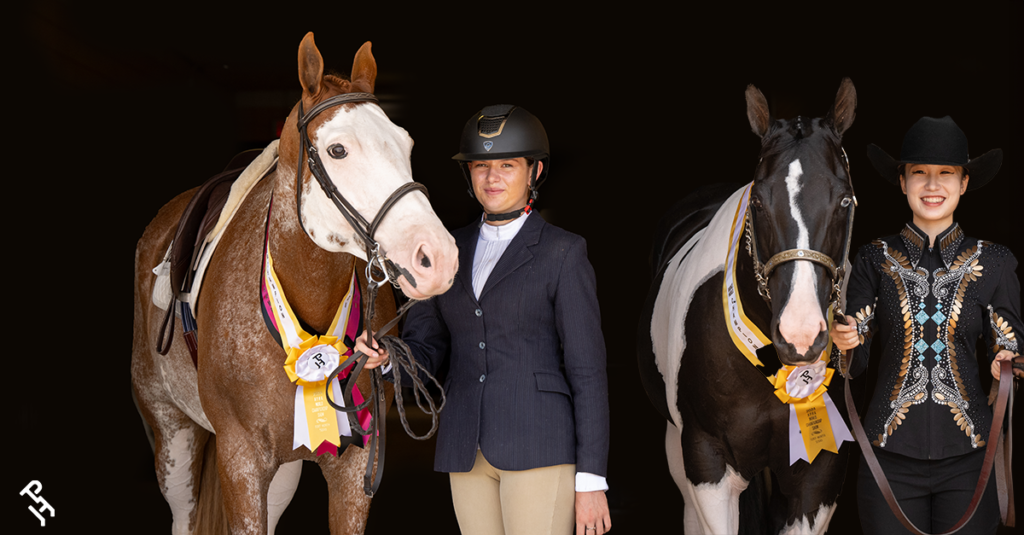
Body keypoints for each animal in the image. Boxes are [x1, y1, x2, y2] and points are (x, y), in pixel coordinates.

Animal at [131, 34, 456, 532]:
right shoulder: (241, 461)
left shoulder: (353, 468)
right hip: (173, 435)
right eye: (338, 150)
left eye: (405, 143)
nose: (437, 258)